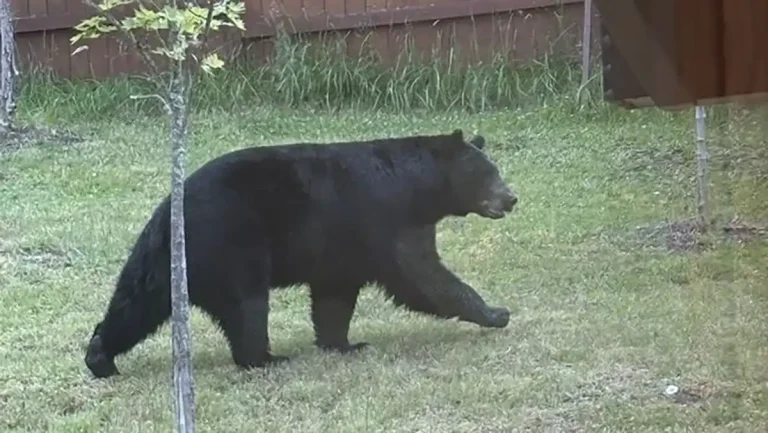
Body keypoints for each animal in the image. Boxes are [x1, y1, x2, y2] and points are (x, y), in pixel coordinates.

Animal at [84, 129, 518, 379]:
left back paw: (100, 356)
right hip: (232, 245)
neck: (420, 186)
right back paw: (266, 358)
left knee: (136, 304)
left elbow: (335, 294)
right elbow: (421, 276)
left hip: (163, 264)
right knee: (247, 306)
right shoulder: (390, 219)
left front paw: (343, 343)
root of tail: (168, 213)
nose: (511, 198)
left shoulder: (342, 244)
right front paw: (496, 312)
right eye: (487, 174)